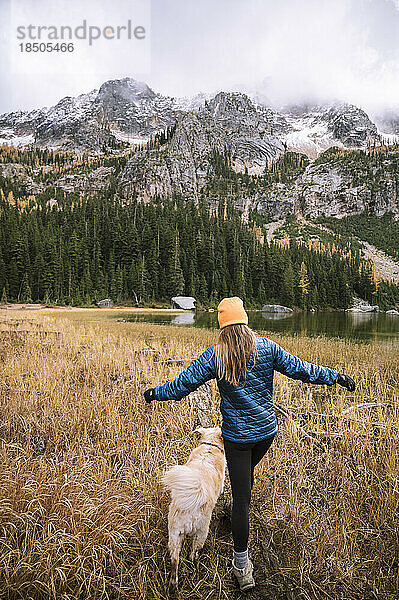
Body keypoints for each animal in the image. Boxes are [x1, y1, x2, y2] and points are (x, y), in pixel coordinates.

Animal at [162, 426, 225, 584]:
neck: (209, 446)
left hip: (174, 535)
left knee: (175, 559)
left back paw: (173, 583)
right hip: (201, 533)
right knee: (192, 554)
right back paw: (194, 567)